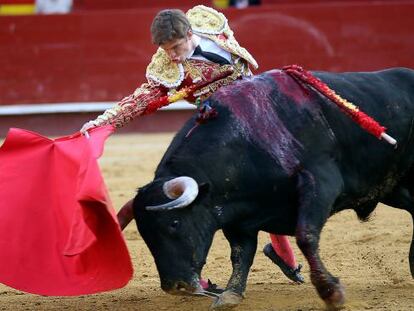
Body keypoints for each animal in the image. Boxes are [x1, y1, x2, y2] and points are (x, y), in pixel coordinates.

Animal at [119, 68, 414, 310]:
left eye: (174, 223)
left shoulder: (320, 182)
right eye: (144, 234)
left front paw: (332, 293)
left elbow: (305, 236)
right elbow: (240, 253)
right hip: (393, 187)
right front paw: (231, 294)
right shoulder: (235, 214)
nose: (175, 287)